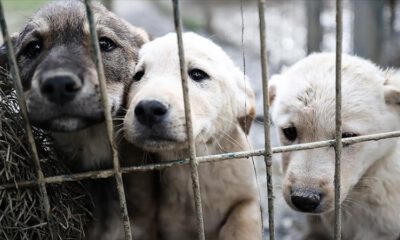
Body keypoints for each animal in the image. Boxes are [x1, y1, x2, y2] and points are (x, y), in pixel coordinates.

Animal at [125, 32, 262, 240]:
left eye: (198, 74)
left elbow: (243, 219)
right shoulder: (172, 227)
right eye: (138, 75)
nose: (148, 109)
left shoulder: (249, 197)